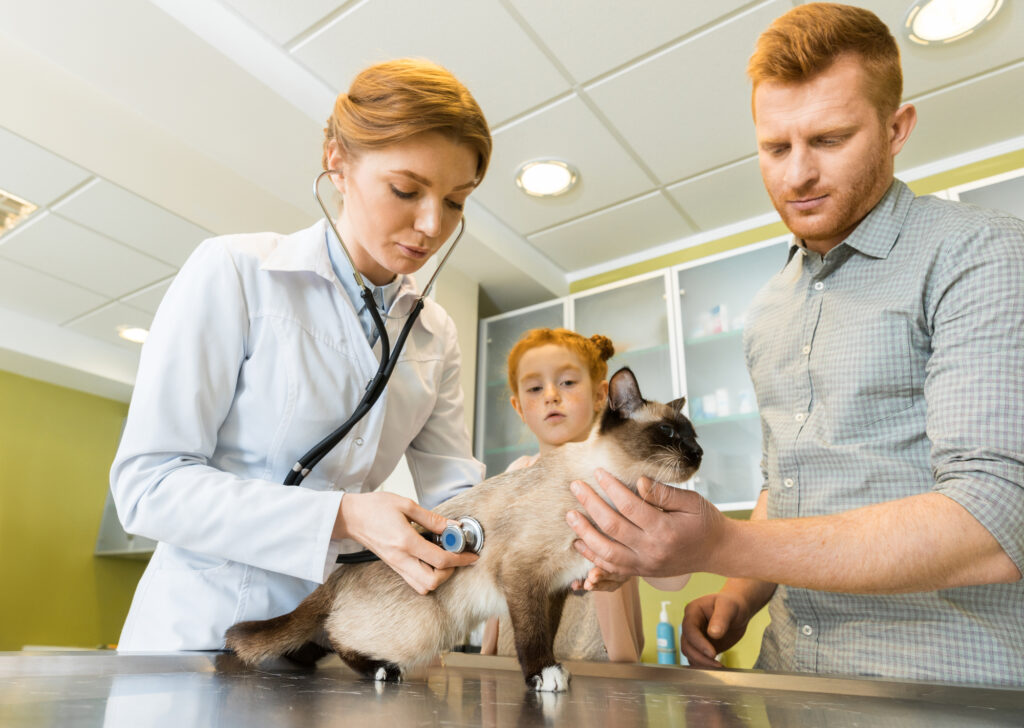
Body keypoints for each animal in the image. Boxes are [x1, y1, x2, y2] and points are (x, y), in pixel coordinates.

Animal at [225, 366, 704, 692]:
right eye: (668, 432)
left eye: (693, 434)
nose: (699, 454)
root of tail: (338, 572)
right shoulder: (523, 576)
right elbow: (533, 637)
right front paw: (544, 676)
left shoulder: (554, 589)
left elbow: (546, 631)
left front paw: (553, 671)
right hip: (430, 628)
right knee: (338, 638)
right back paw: (381, 670)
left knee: (313, 638)